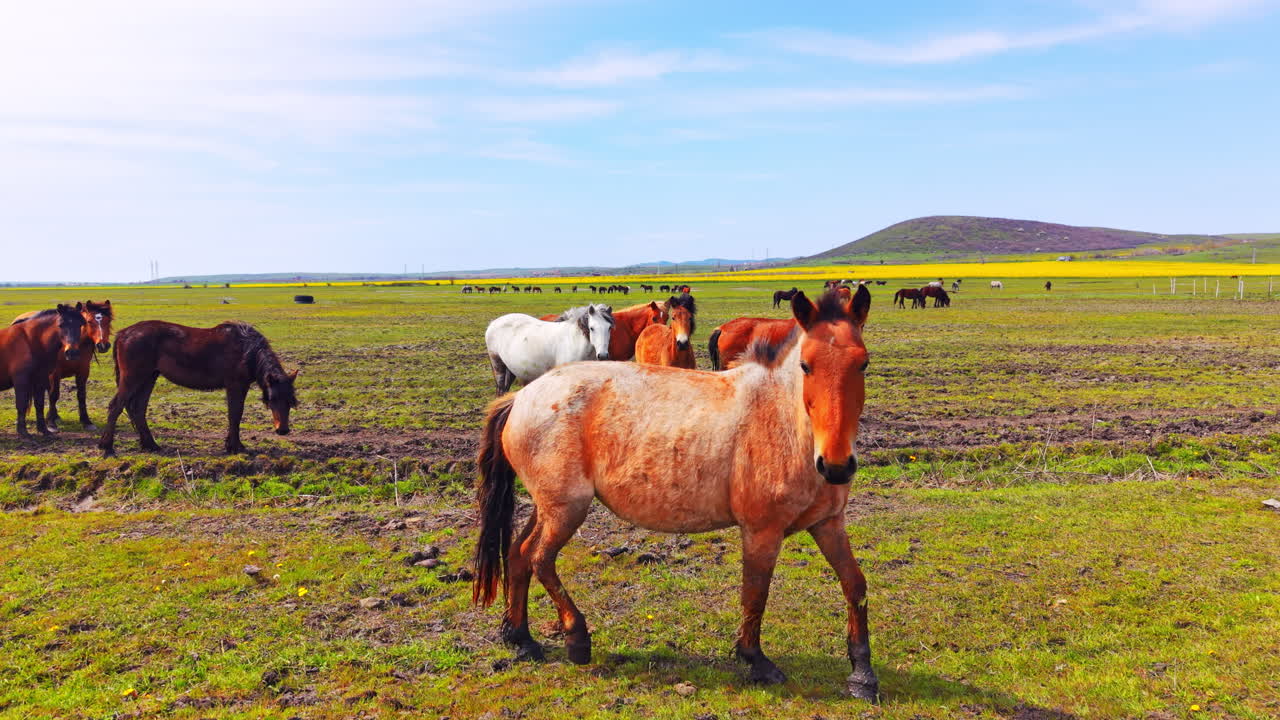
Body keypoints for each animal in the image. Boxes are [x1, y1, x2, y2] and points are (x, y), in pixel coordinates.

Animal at [0, 304, 86, 438]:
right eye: (61, 324)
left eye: (81, 324)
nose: (72, 352)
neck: (30, 341)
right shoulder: (21, 380)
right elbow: (21, 404)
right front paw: (23, 432)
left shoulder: (40, 379)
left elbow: (39, 404)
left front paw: (43, 429)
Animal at [11, 300, 114, 429]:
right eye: (89, 321)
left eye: (108, 321)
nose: (103, 345)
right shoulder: (55, 372)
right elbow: (54, 395)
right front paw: (51, 422)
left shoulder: (83, 371)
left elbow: (81, 395)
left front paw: (86, 421)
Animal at [98, 321, 299, 456]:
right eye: (272, 399)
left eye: (291, 401)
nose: (283, 430)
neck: (247, 350)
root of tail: (124, 333)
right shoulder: (236, 385)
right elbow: (235, 414)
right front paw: (235, 447)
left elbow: (235, 415)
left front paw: (232, 445)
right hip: (133, 378)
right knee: (116, 406)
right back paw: (107, 446)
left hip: (149, 377)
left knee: (138, 409)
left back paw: (151, 444)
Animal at [486, 305, 614, 394]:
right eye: (592, 328)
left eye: (609, 328)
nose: (603, 355)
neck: (574, 342)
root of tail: (493, 323)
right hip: (498, 365)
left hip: (511, 369)